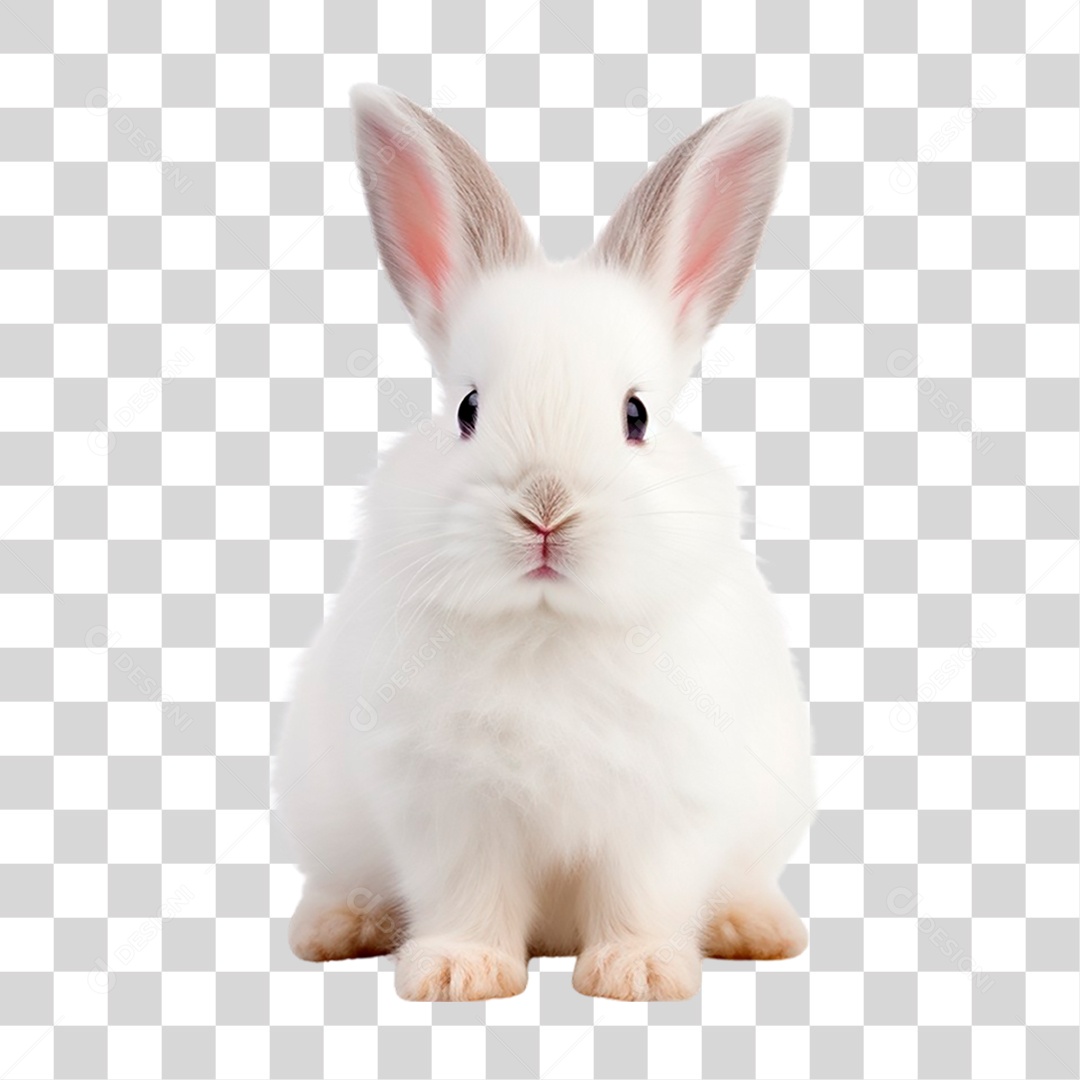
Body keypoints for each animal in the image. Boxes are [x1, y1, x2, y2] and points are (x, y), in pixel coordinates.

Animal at [273, 84, 814, 1002]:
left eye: (636, 414)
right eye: (467, 409)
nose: (545, 509)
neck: (546, 625)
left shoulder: (664, 812)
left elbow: (641, 895)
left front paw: (638, 973)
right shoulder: (450, 811)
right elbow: (469, 895)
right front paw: (458, 973)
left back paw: (757, 930)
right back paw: (337, 928)